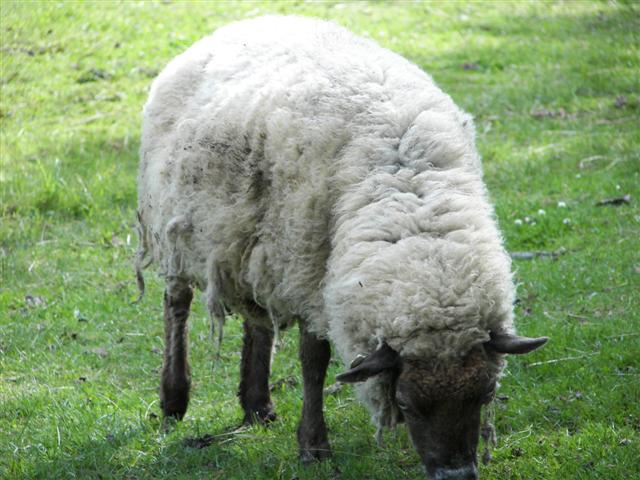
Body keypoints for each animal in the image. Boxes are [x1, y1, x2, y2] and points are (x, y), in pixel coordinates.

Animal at [136, 15, 548, 479]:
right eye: (406, 403)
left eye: (485, 393)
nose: (456, 476)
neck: (410, 201)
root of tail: (248, 21)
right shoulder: (310, 269)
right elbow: (314, 362)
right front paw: (314, 446)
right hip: (176, 227)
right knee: (177, 304)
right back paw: (174, 400)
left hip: (256, 241)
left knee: (257, 319)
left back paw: (257, 405)